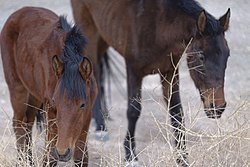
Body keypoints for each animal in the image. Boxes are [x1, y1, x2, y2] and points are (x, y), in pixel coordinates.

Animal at [0, 6, 97, 167]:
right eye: (55, 102)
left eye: (82, 105)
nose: (63, 152)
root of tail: (19, 12)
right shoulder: (50, 112)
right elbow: (49, 157)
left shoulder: (87, 115)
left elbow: (81, 156)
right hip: (18, 89)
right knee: (18, 123)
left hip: (33, 95)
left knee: (28, 123)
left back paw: (30, 161)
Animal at [70, 0, 230, 166]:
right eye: (201, 56)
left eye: (227, 55)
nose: (218, 107)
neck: (159, 25)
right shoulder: (133, 71)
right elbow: (134, 111)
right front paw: (130, 155)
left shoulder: (169, 72)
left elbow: (177, 112)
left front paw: (182, 159)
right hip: (89, 30)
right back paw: (101, 127)